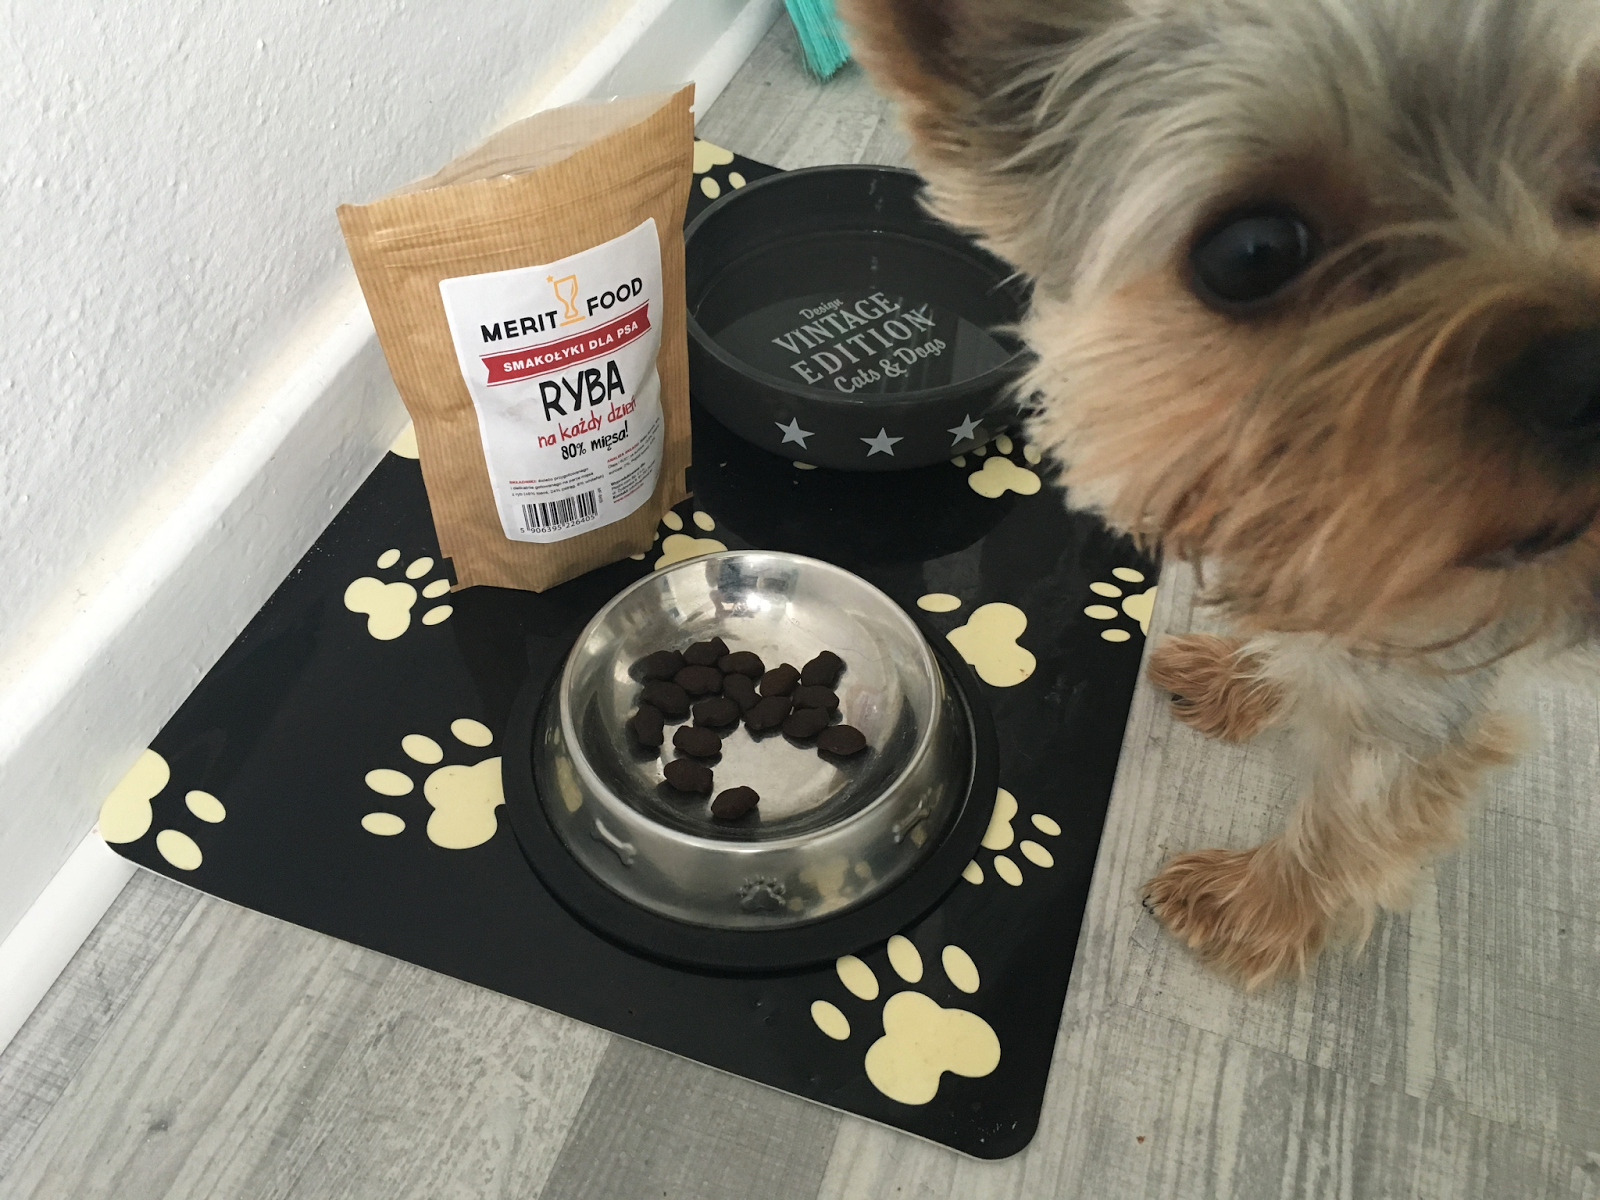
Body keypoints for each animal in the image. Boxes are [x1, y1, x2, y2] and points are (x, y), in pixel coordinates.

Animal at [841, 0, 1600, 985]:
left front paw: (1254, 907)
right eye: (1252, 253)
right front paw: (1244, 677)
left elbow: (1354, 816)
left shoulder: (1431, 678)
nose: (1585, 377)